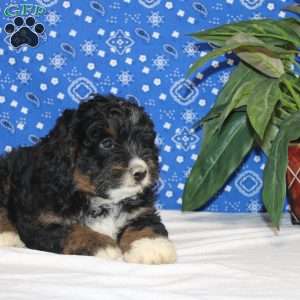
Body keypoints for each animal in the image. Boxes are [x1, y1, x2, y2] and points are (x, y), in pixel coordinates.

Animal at [0, 95, 176, 264]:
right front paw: (102, 245)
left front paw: (151, 246)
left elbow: (145, 224)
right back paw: (7, 236)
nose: (141, 172)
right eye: (107, 143)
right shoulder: (40, 221)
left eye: (144, 142)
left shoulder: (142, 210)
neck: (101, 200)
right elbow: (73, 230)